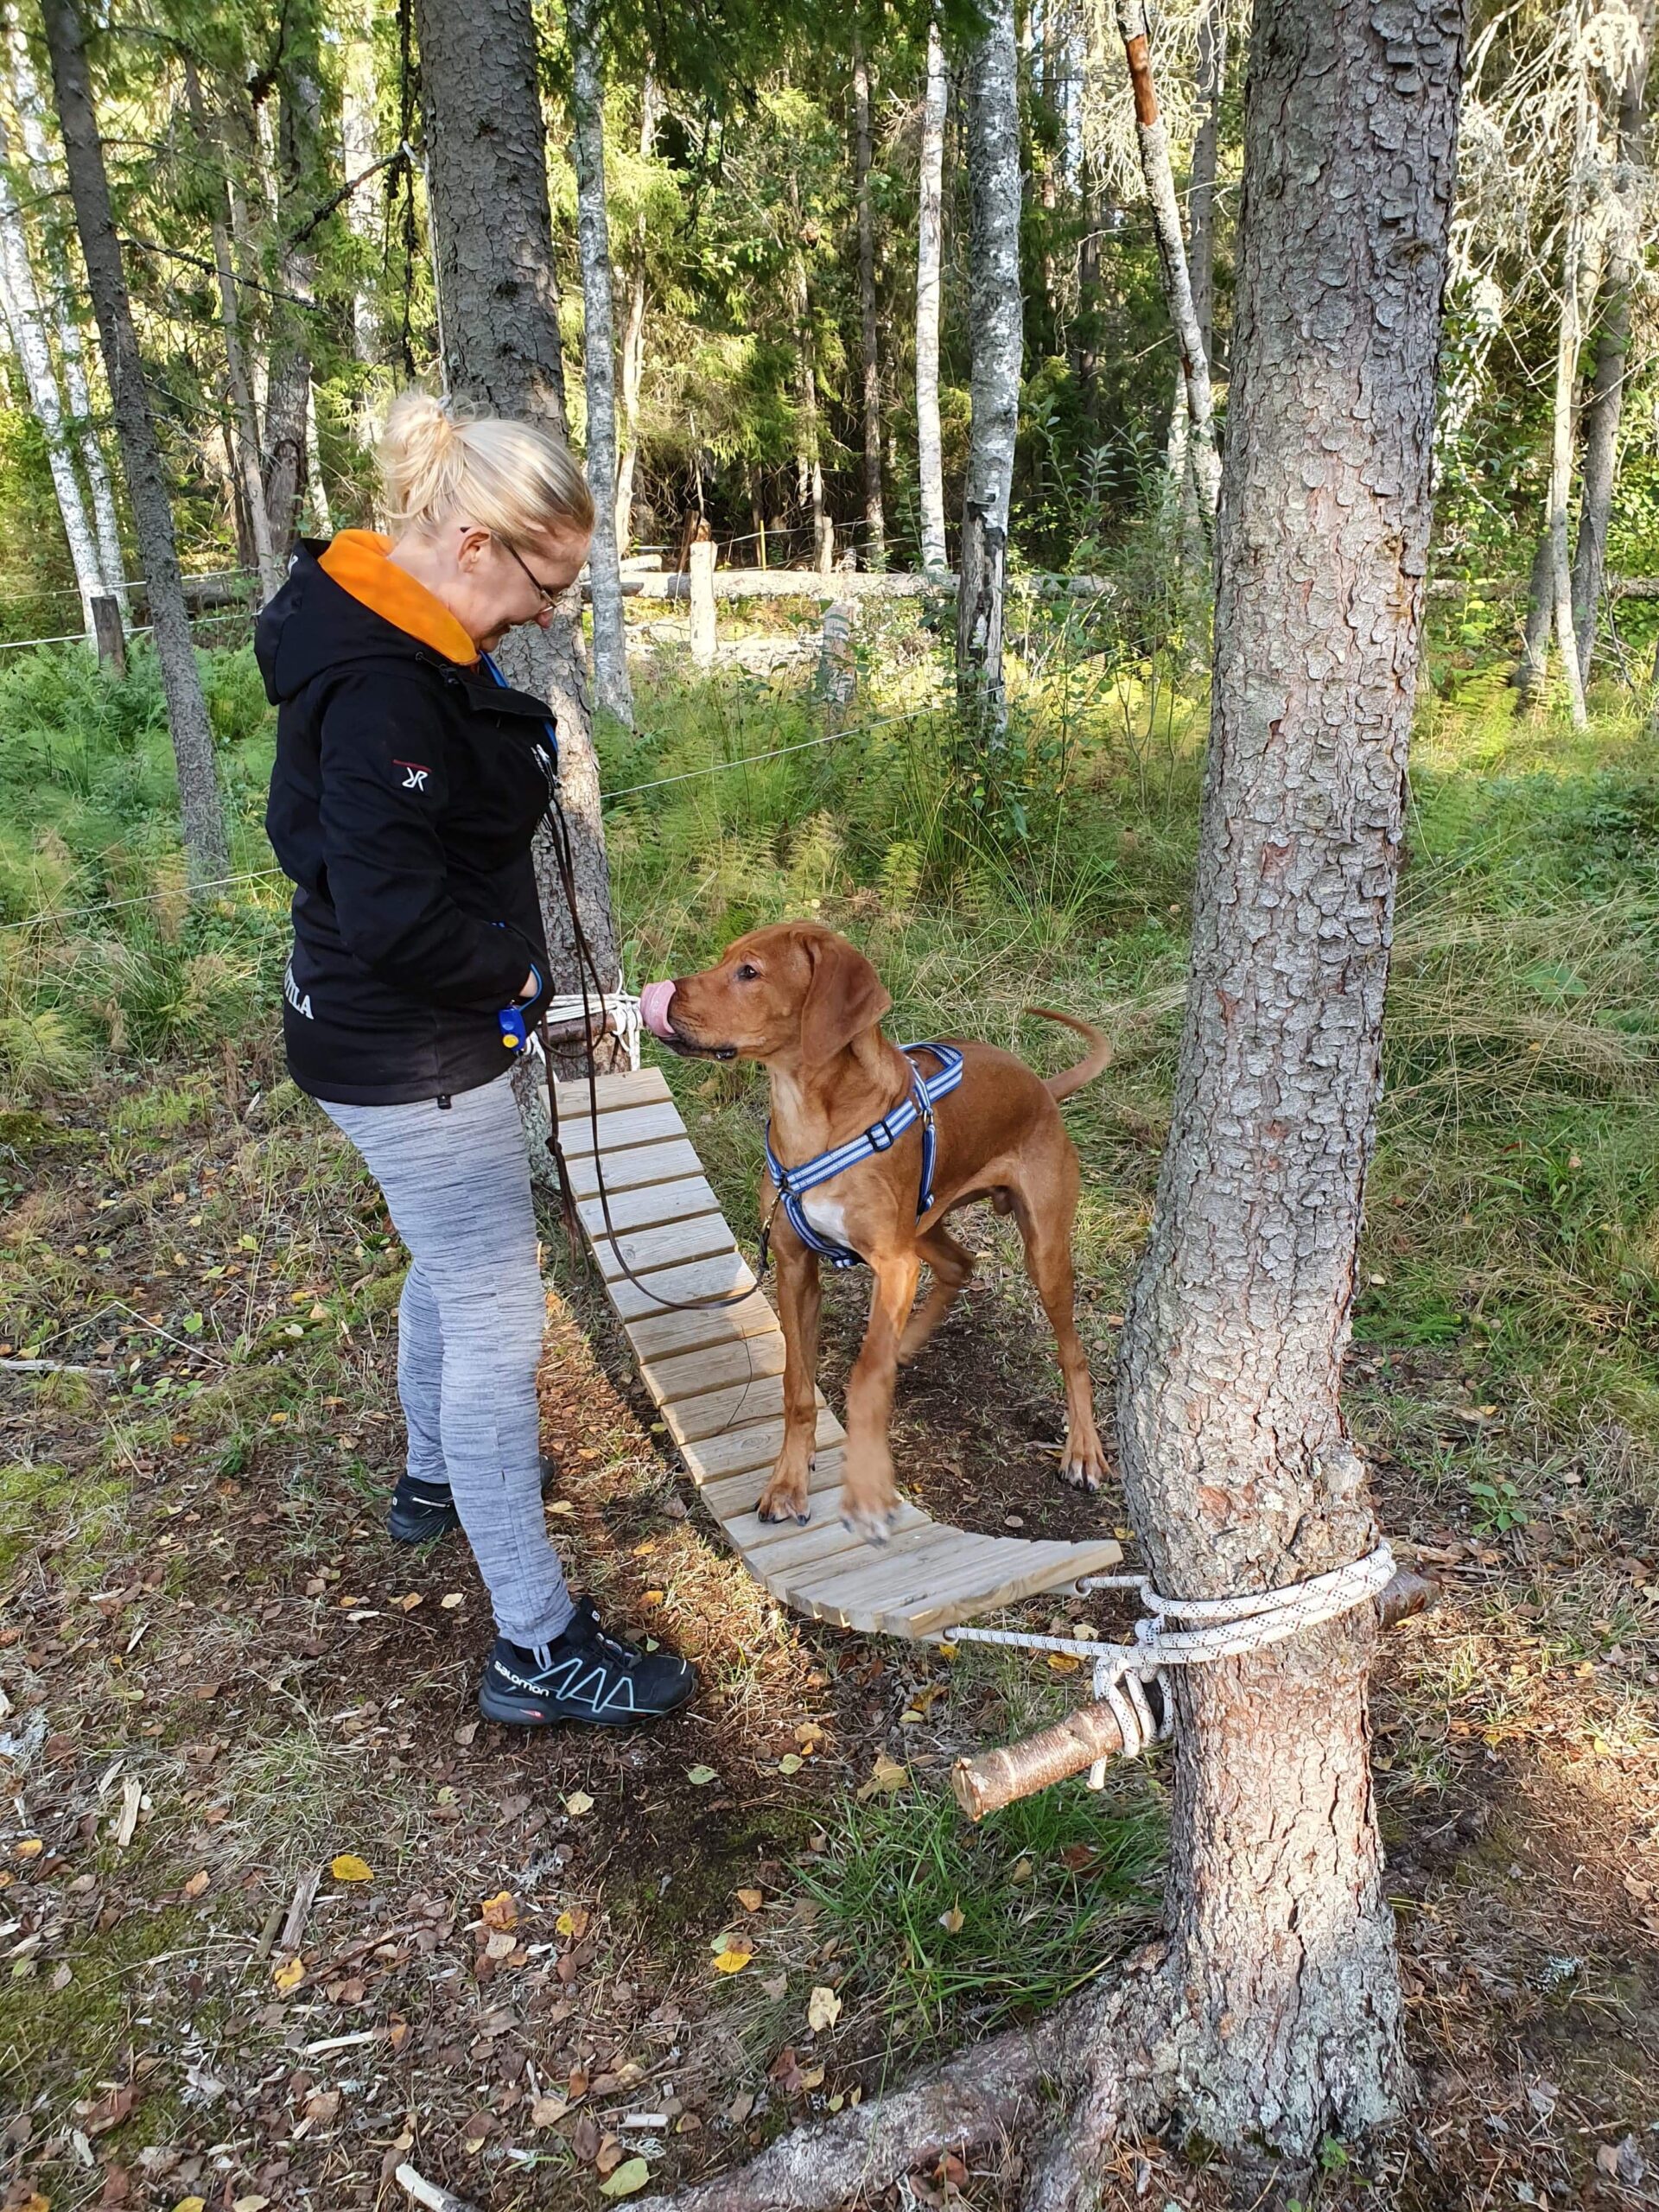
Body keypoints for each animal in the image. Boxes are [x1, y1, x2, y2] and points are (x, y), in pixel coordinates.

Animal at [654, 925, 1110, 1548]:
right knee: (959, 1264)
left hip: (1038, 1250)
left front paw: (868, 1490)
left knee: (1072, 1353)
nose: (661, 994)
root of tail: (1040, 1084)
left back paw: (1083, 1450)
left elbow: (866, 1376)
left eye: (749, 971)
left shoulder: (891, 1264)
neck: (811, 1116)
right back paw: (907, 1342)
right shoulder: (796, 1264)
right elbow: (797, 1386)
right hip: (924, 1225)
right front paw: (788, 1482)